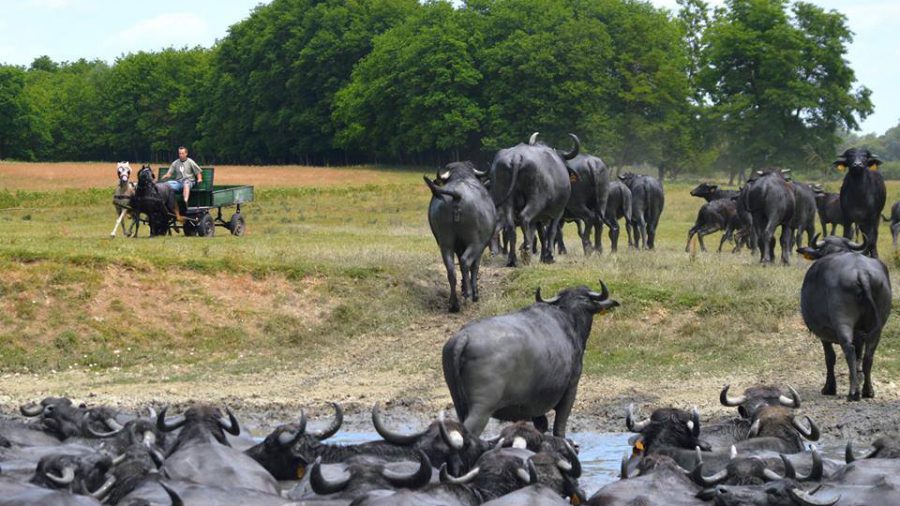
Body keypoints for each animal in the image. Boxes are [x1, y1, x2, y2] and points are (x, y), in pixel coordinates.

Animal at [424, 162, 496, 312]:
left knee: (451, 270)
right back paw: (468, 295)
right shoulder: (480, 248)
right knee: (465, 262)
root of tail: (457, 195)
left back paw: (454, 304)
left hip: (445, 243)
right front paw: (474, 293)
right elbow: (475, 267)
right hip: (476, 243)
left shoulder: (457, 247)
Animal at [442, 278, 620, 436]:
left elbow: (541, 426)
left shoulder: (534, 404)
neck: (570, 318)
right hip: (482, 408)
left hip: (460, 404)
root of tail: (464, 337)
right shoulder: (570, 390)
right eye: (585, 298)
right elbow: (559, 429)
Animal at [488, 131, 580, 264]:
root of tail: (516, 157)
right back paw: (526, 252)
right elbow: (551, 232)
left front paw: (543, 257)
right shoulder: (558, 212)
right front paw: (550, 256)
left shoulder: (539, 218)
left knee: (510, 227)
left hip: (507, 202)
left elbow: (542, 235)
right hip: (536, 201)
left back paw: (512, 259)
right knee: (524, 217)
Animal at [800, 236, 892, 400]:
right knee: (868, 356)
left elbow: (830, 358)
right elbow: (859, 357)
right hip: (877, 328)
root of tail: (861, 273)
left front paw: (829, 387)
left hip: (843, 322)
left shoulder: (824, 335)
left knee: (848, 349)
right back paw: (867, 391)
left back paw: (853, 393)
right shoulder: (860, 335)